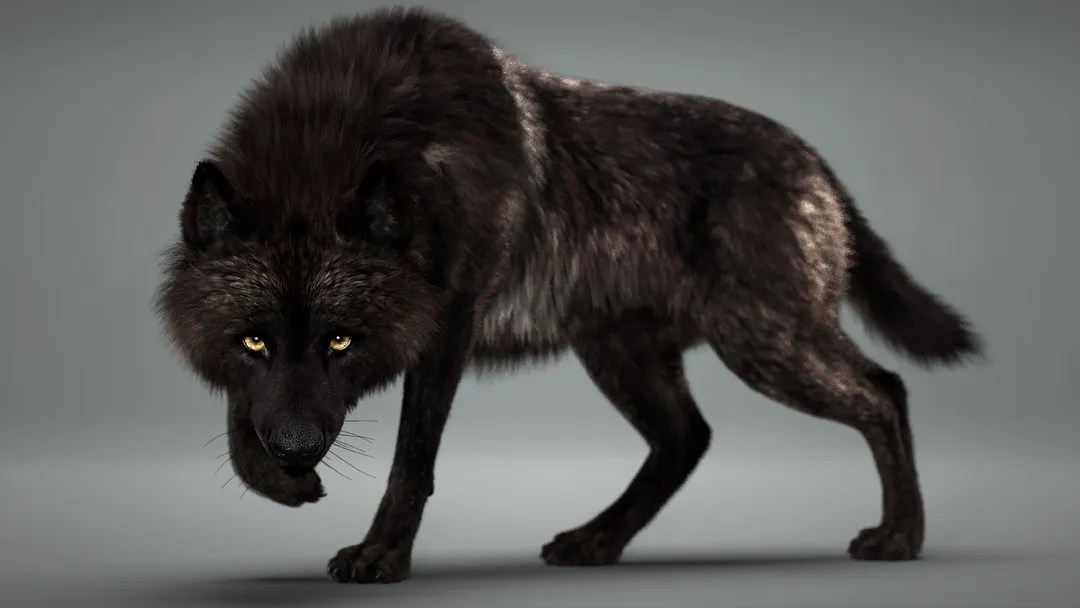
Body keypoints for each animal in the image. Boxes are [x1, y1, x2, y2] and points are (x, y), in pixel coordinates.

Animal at [154, 7, 983, 584]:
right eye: (254, 340)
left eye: (340, 340)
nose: (298, 448)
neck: (338, 137)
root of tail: (818, 162)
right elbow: (241, 413)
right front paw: (279, 481)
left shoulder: (447, 328)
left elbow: (410, 459)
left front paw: (380, 555)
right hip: (624, 354)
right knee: (688, 438)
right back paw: (596, 541)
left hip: (763, 346)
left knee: (883, 390)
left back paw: (899, 538)